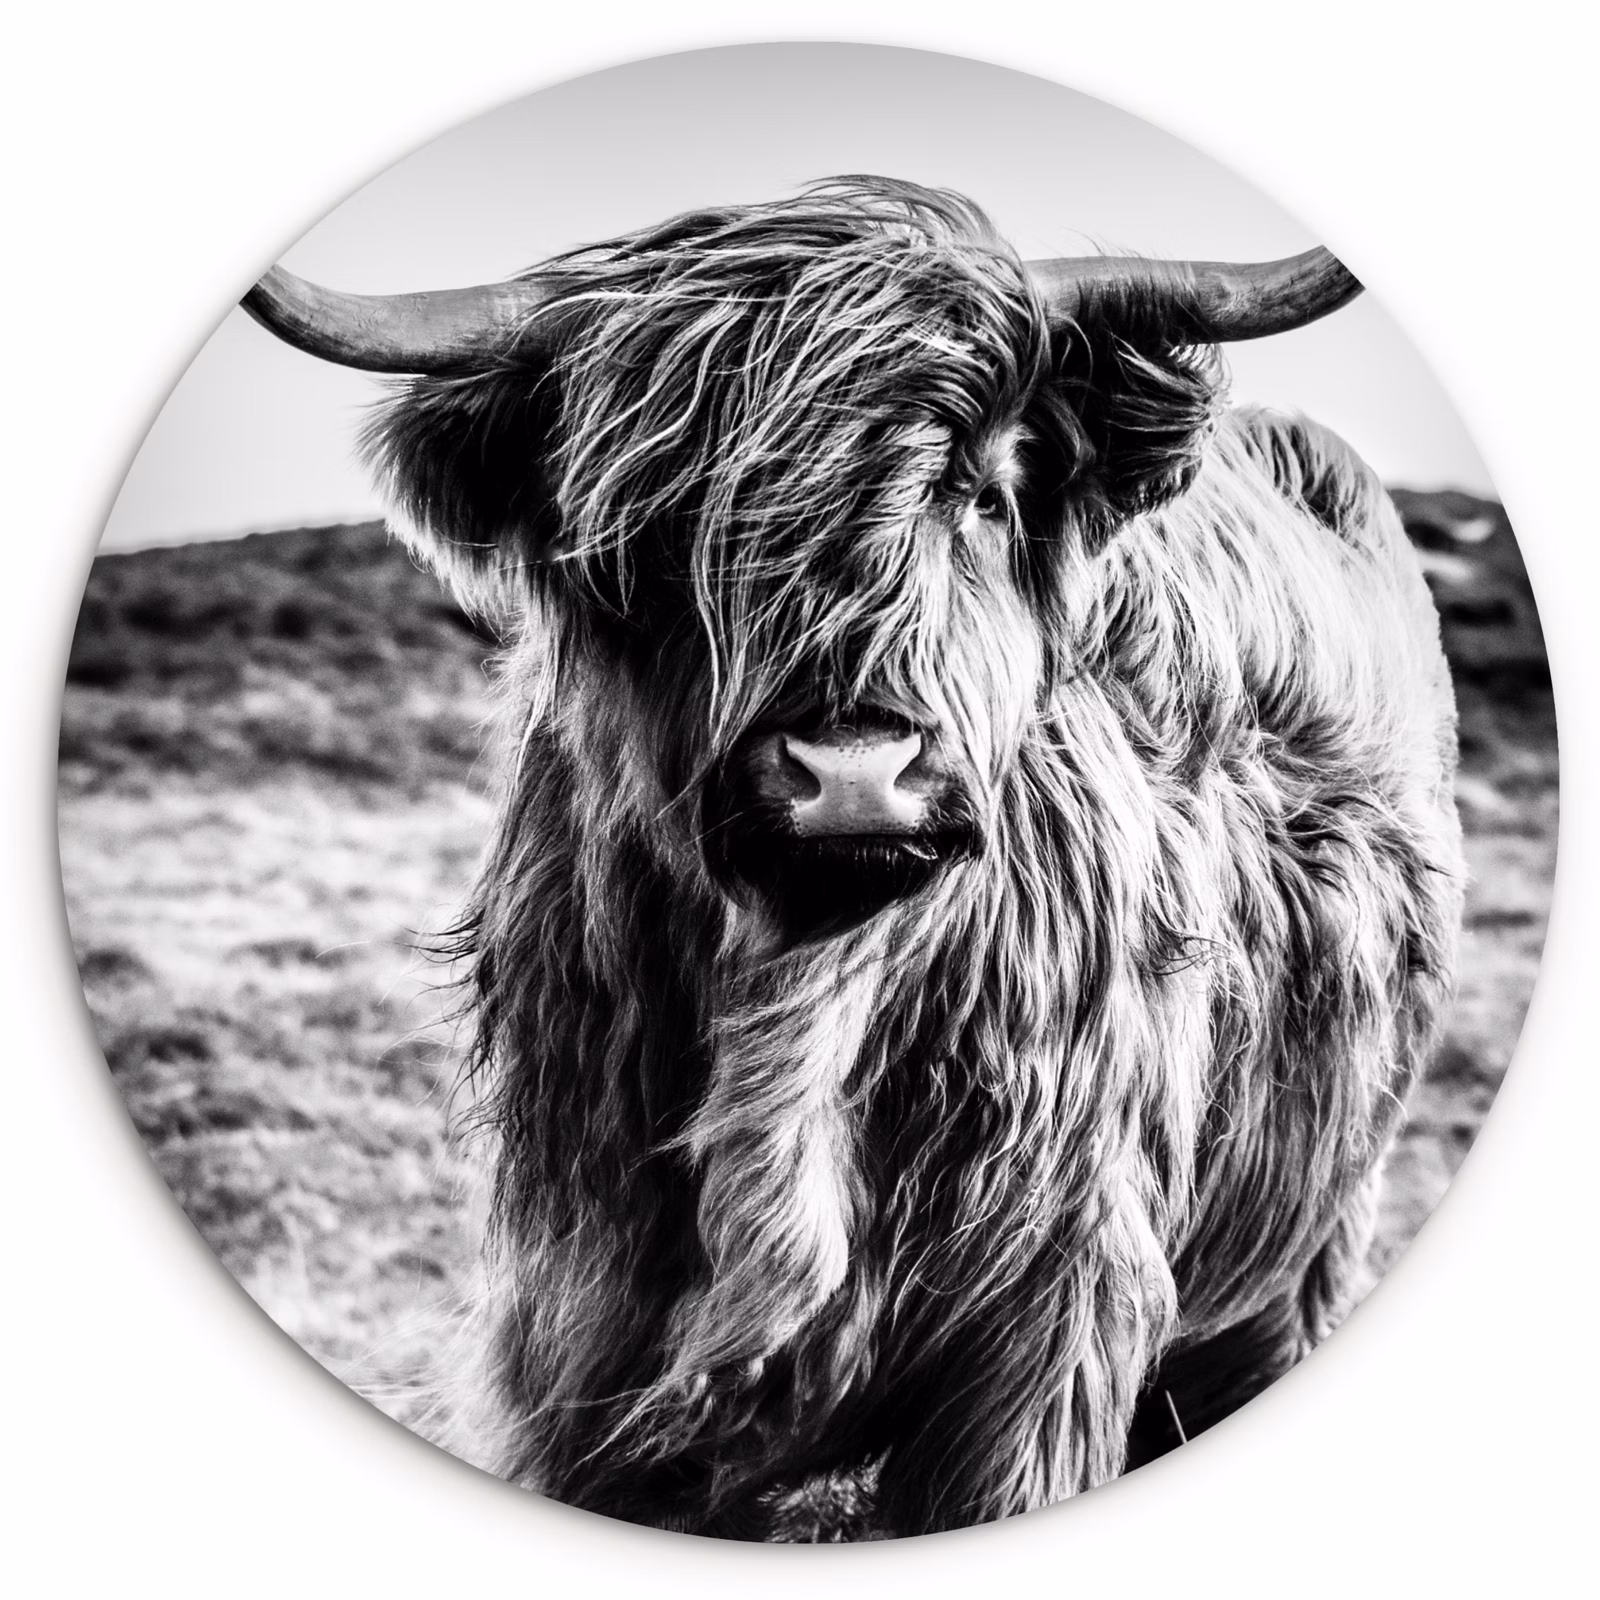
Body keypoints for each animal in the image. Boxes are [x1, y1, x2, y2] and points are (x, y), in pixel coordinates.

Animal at [243, 178, 1464, 1539]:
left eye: (981, 494)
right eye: (663, 529)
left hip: (1309, 1242)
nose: (853, 770)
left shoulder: (1045, 1329)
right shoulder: (584, 1331)